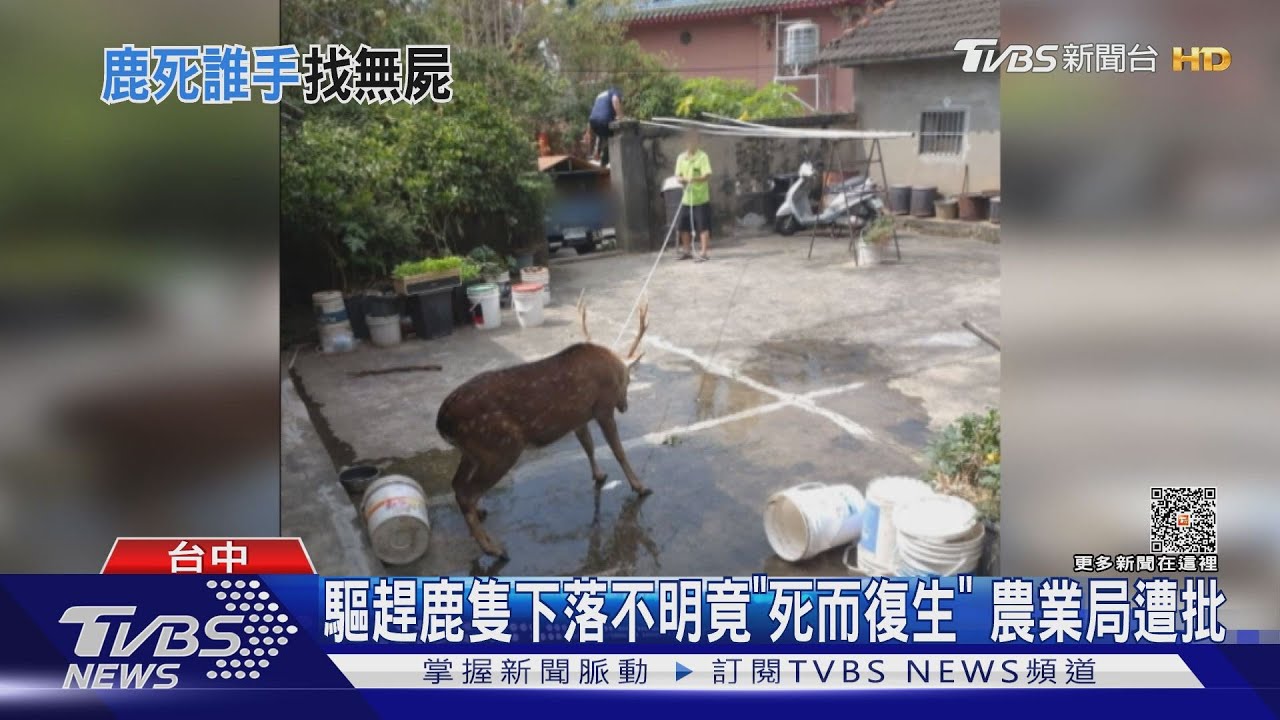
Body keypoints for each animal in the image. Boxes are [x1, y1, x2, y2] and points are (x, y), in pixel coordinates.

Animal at [435, 299, 652, 559]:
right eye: (628, 380)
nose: (625, 406)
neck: (612, 367)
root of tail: (442, 420)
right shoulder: (603, 407)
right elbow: (618, 451)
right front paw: (640, 487)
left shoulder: (579, 417)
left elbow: (588, 446)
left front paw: (599, 475)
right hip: (500, 447)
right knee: (466, 493)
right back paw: (494, 548)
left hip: (472, 452)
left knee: (457, 485)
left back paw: (481, 515)